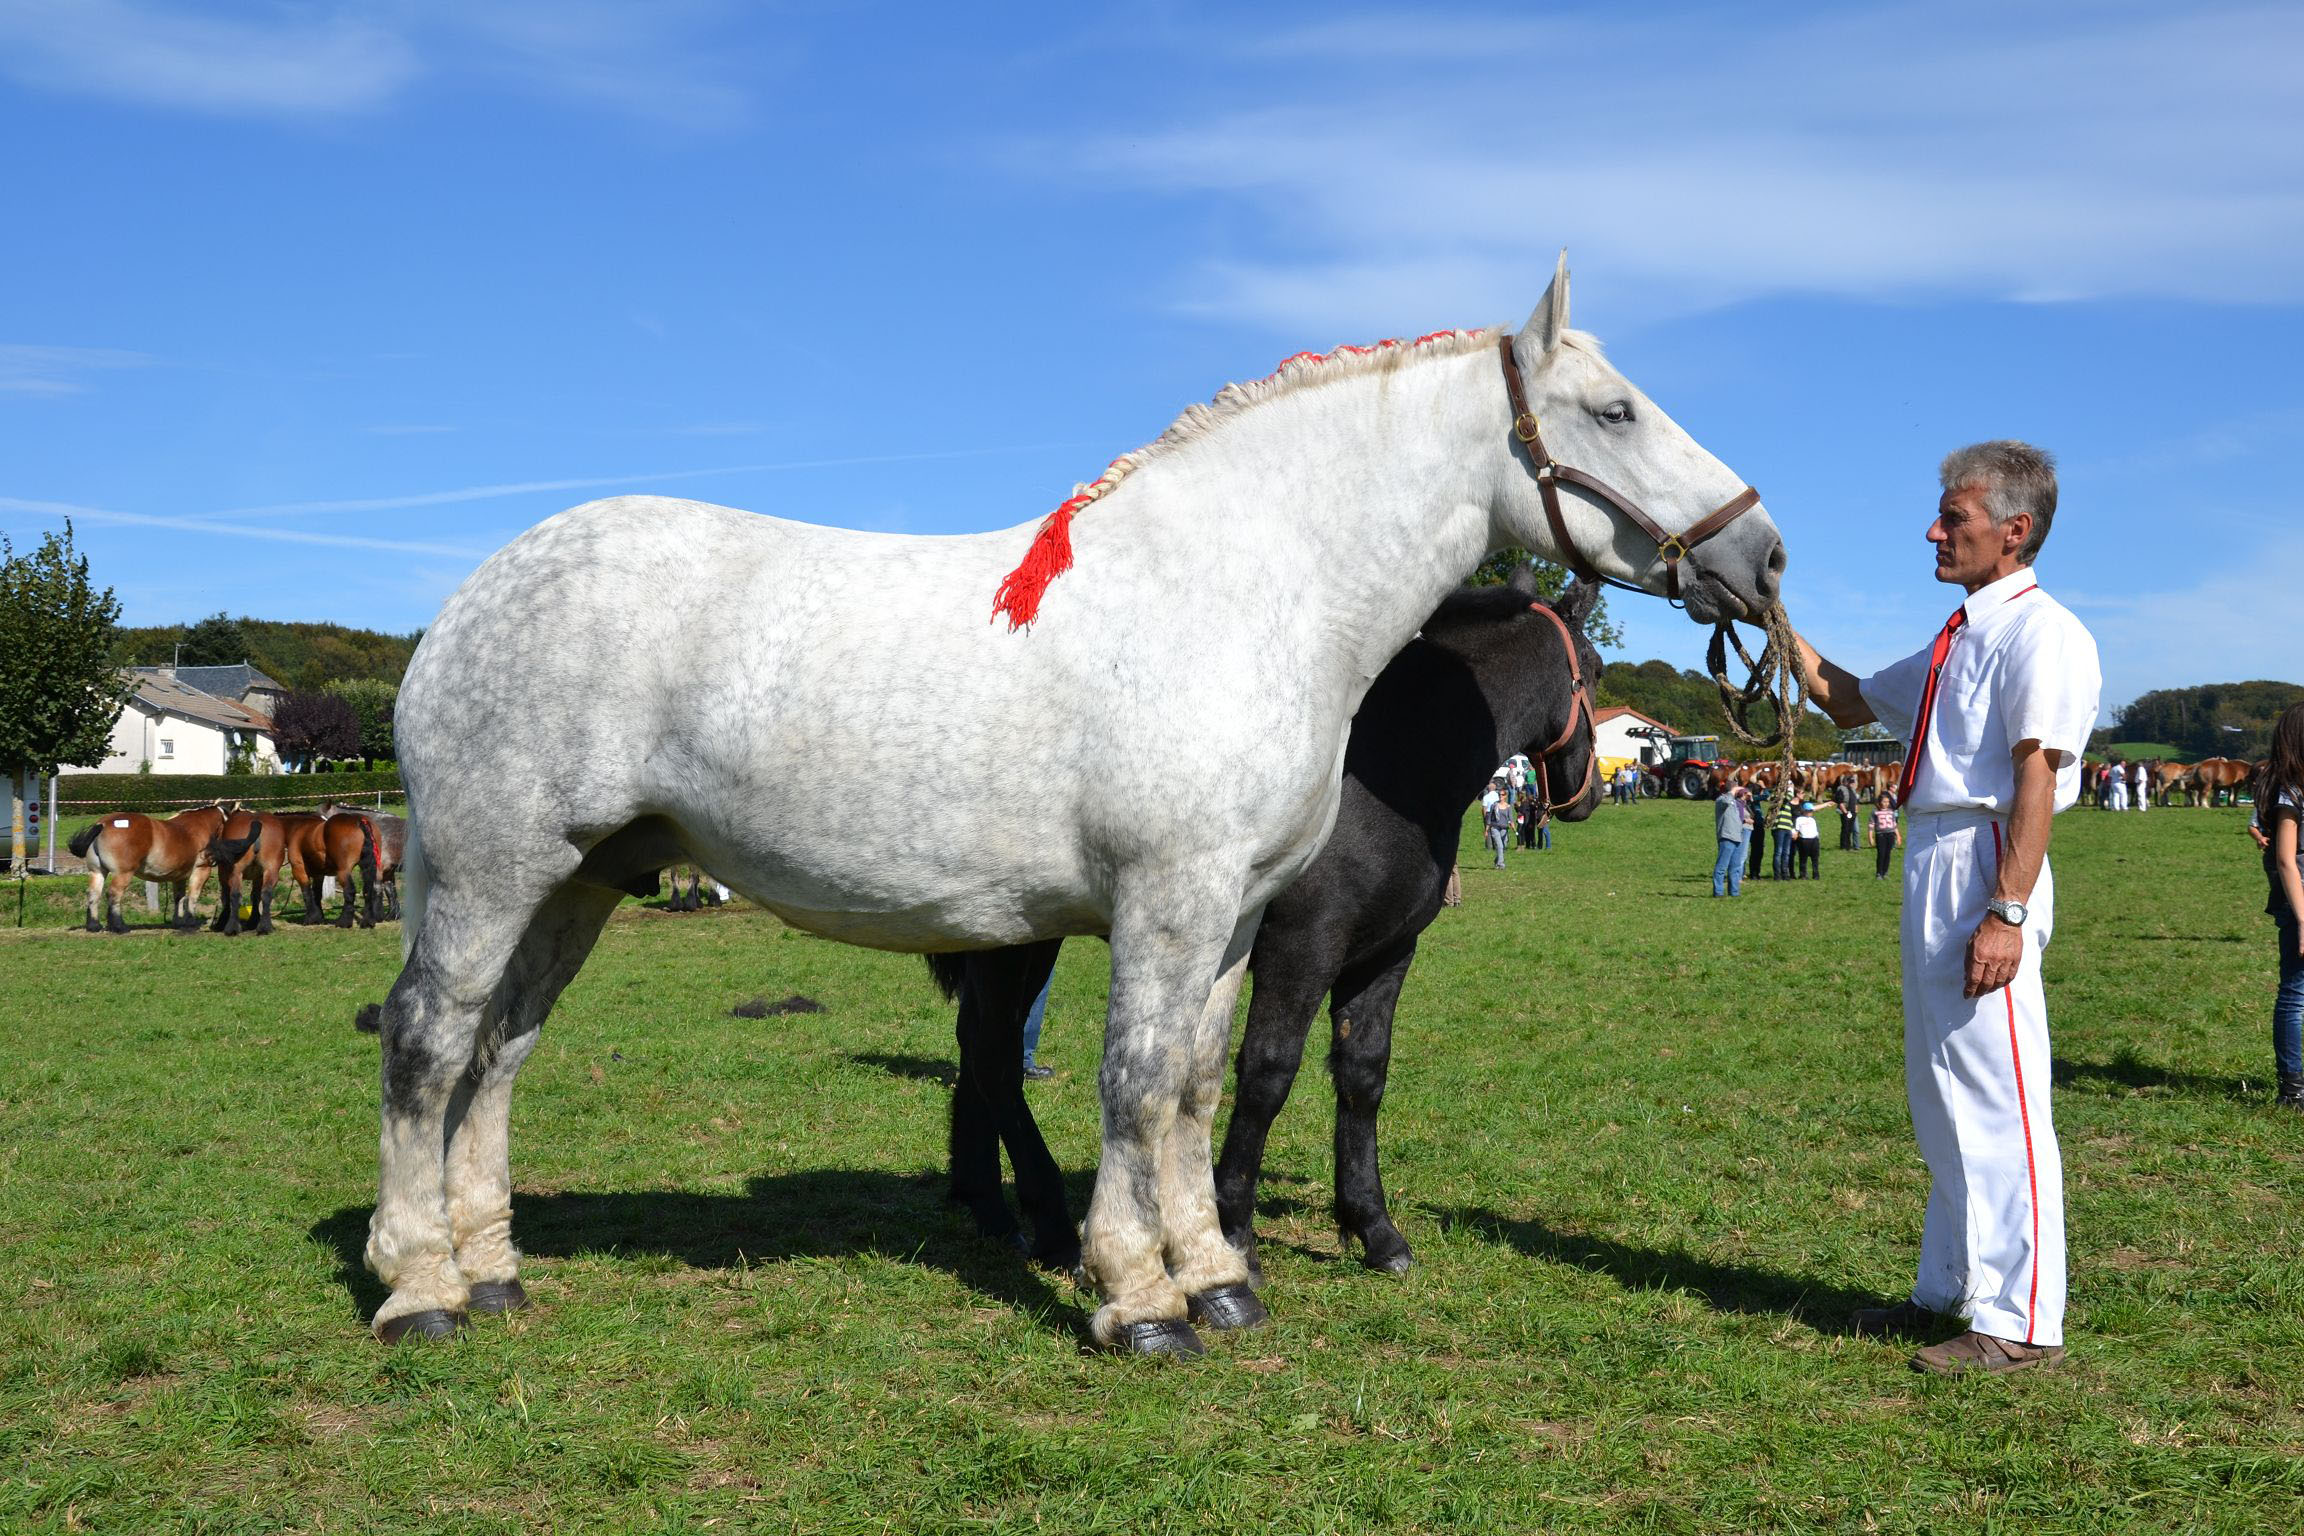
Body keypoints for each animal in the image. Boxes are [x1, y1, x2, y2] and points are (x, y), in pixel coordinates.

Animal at [69, 810, 256, 930]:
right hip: (123, 874)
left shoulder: (179, 877)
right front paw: (190, 922)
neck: (201, 826)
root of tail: (103, 824)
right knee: (114, 894)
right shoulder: (200, 871)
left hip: (97, 872)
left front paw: (178, 921)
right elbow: (193, 896)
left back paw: (94, 925)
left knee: (93, 894)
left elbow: (179, 897)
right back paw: (119, 926)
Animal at [926, 571, 1594, 1280]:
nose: (1586, 794)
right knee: (994, 1053)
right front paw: (1235, 1230)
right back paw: (1048, 1221)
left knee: (977, 1045)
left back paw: (986, 1205)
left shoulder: (1384, 956)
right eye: (1598, 668)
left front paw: (1375, 1228)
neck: (1392, 774)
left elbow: (1363, 1075)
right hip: (1011, 942)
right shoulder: (1301, 950)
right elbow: (1268, 1074)